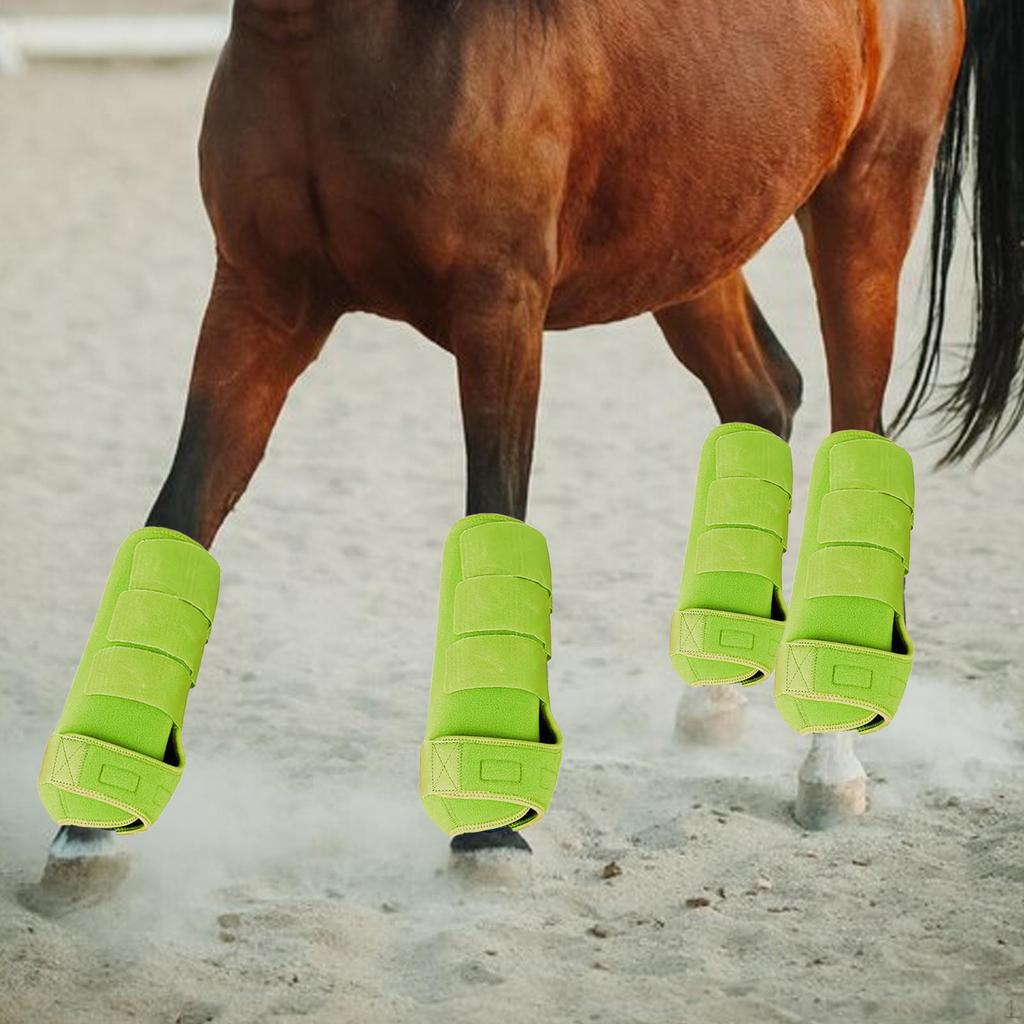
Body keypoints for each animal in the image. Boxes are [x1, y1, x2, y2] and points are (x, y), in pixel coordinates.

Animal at [44, 0, 1024, 889]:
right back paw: (714, 696)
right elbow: (179, 517)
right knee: (763, 395)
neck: (345, 35)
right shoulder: (261, 298)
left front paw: (488, 830)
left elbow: (495, 516)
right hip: (697, 242)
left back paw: (830, 761)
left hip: (865, 208)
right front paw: (90, 827)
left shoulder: (500, 314)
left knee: (857, 436)